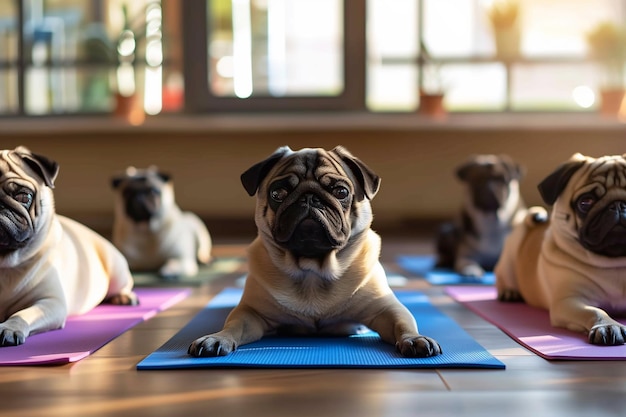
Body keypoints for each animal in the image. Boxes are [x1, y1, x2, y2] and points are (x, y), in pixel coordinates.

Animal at [0, 146, 136, 344]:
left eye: (23, 196)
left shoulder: (51, 302)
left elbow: (22, 315)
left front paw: (9, 328)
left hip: (117, 270)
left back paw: (124, 296)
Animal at [185, 145, 438, 356]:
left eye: (341, 192)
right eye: (278, 193)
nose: (309, 197)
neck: (312, 269)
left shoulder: (385, 309)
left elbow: (402, 323)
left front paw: (414, 339)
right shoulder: (251, 313)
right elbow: (233, 325)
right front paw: (217, 338)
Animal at [498, 153, 626, 344]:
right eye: (585, 202)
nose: (618, 205)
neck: (615, 263)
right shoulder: (569, 301)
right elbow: (596, 311)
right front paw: (608, 325)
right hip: (511, 251)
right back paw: (509, 292)